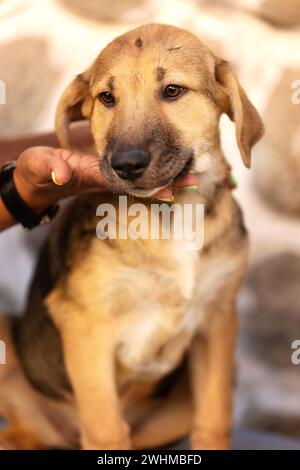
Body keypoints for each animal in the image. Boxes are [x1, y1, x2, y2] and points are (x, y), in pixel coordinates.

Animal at [0, 23, 262, 450]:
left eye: (172, 91)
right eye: (107, 97)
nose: (125, 164)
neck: (173, 214)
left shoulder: (218, 318)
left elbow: (214, 418)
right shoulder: (85, 322)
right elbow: (106, 428)